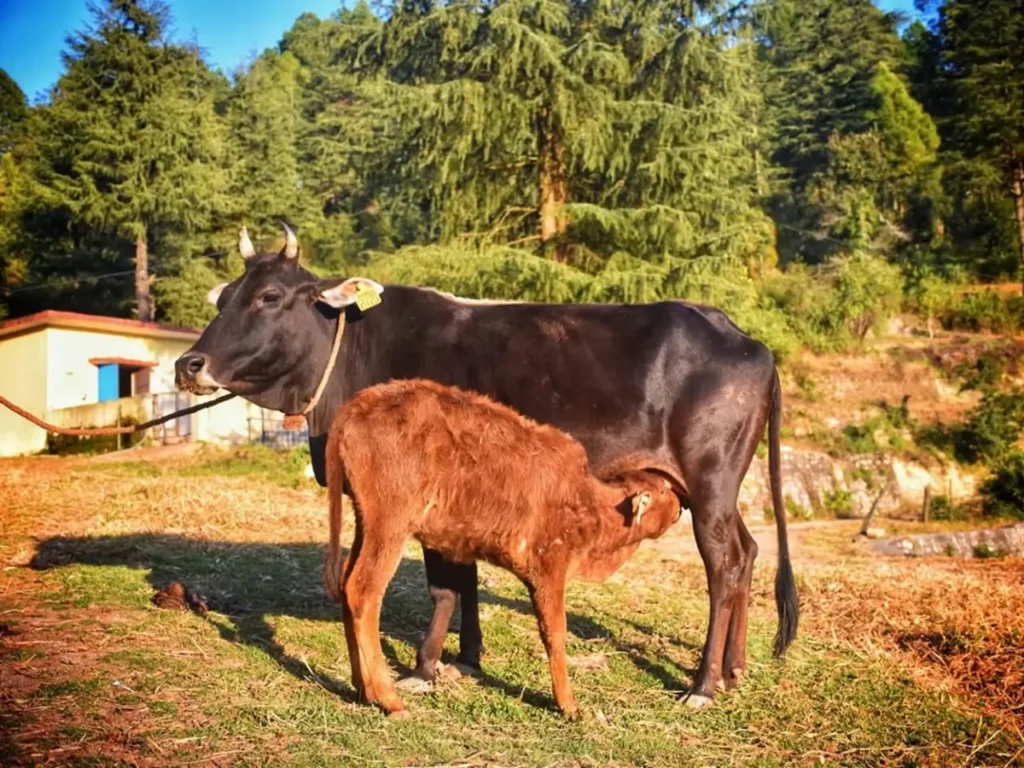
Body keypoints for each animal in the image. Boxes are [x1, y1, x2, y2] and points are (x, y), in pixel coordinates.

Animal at [323, 380, 684, 720]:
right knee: (363, 590)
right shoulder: (549, 572)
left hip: (367, 525)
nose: (681, 505)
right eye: (664, 490)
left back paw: (364, 689)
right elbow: (555, 635)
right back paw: (389, 699)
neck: (592, 504)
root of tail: (360, 404)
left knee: (347, 584)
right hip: (390, 527)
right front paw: (568, 704)